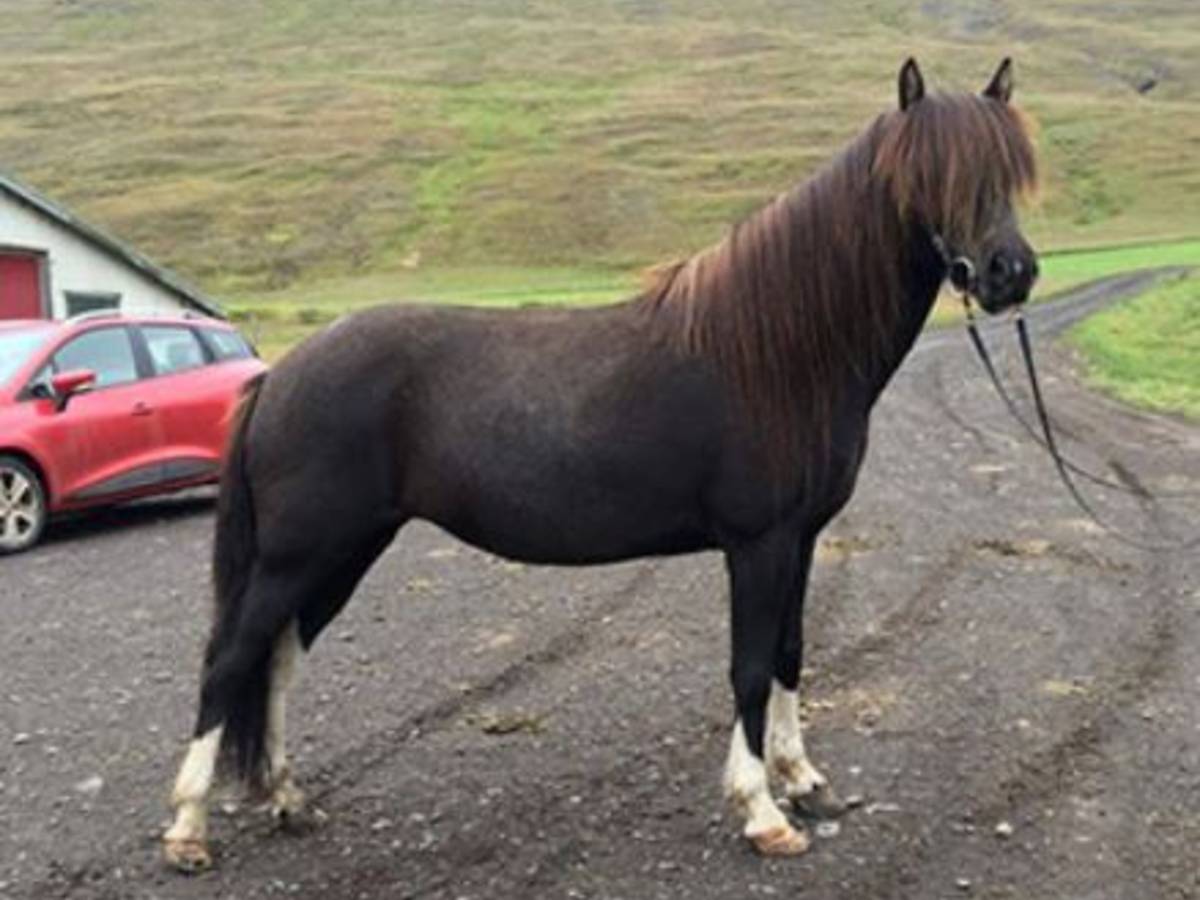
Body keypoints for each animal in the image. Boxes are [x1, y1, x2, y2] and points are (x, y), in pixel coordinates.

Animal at [162, 58, 1041, 873]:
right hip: (299, 551)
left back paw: (288, 799)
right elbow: (750, 667)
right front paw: (762, 812)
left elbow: (790, 653)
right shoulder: (757, 545)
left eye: (1009, 172)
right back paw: (188, 830)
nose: (1011, 273)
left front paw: (804, 781)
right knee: (229, 661)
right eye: (932, 175)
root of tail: (279, 374)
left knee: (280, 657)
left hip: (345, 549)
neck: (782, 356)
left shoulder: (802, 539)